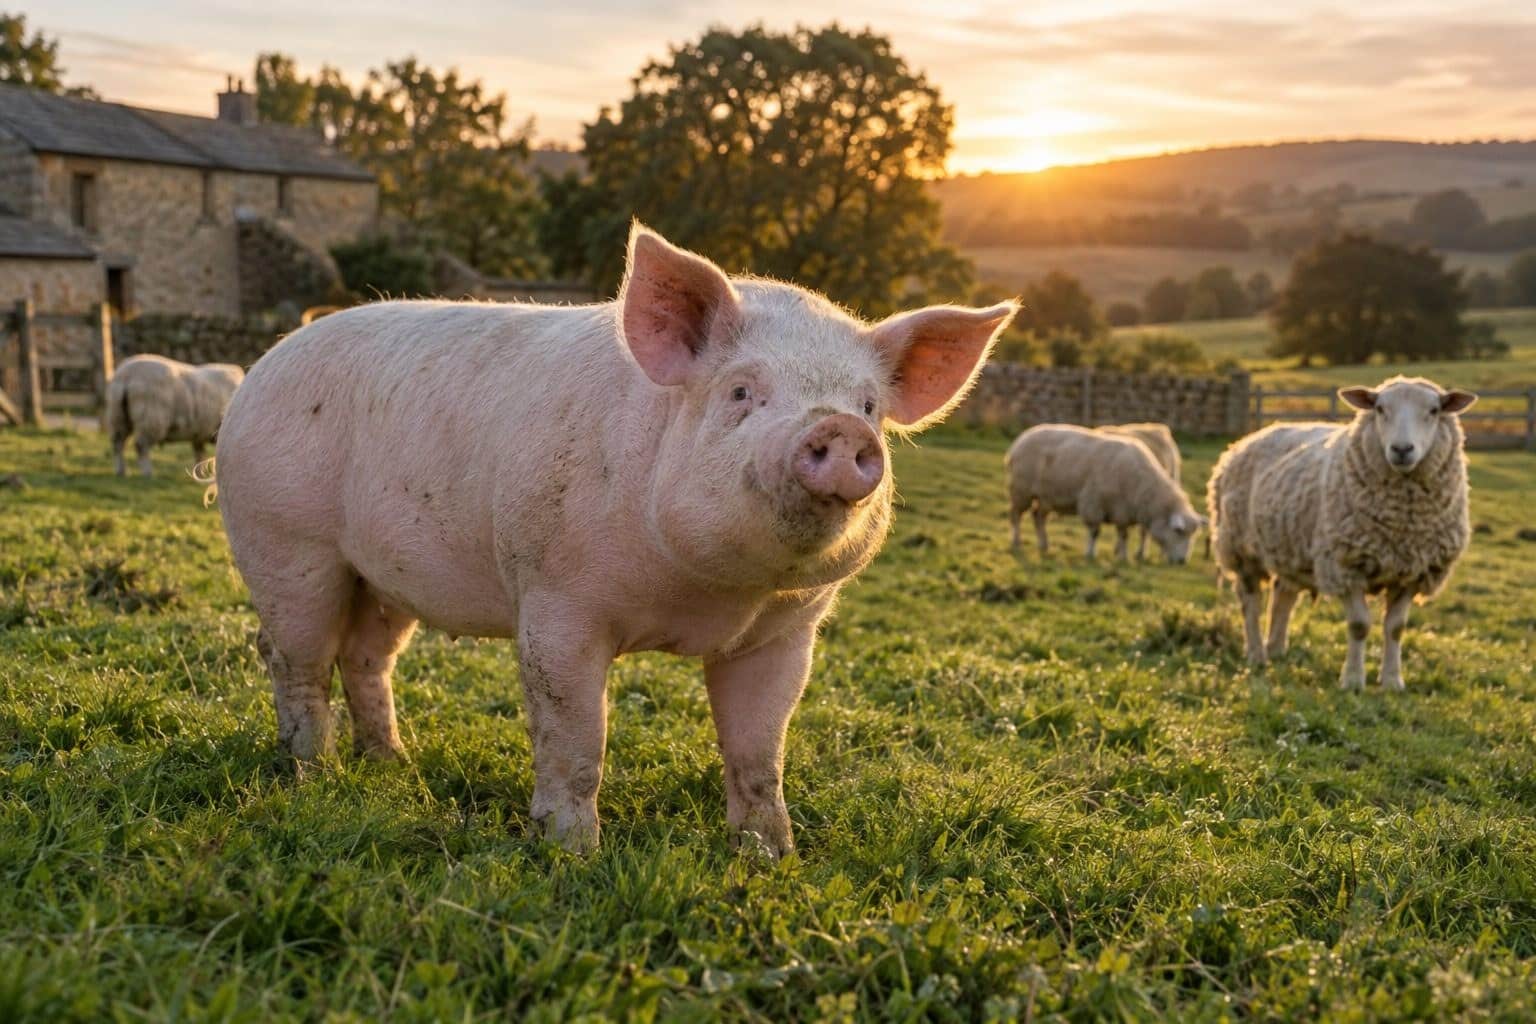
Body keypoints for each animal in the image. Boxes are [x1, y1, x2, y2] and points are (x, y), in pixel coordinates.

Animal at [106, 354, 244, 477]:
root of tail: (126, 375)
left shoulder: (200, 432)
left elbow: (199, 453)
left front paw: (199, 473)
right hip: (151, 417)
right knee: (141, 445)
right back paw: (147, 473)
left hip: (118, 415)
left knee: (117, 443)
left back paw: (121, 471)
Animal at [214, 225, 1016, 856]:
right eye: (741, 392)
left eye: (869, 405)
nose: (841, 429)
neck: (703, 600)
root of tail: (259, 371)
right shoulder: (555, 599)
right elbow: (576, 738)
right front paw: (573, 852)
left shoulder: (784, 634)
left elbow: (760, 750)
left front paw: (771, 857)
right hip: (285, 541)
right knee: (294, 658)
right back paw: (314, 773)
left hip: (383, 577)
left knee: (364, 657)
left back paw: (391, 765)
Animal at [1206, 376, 1476, 690]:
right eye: (1379, 408)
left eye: (1434, 410)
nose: (1401, 449)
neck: (1401, 525)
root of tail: (1244, 440)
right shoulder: (1345, 566)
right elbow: (1359, 626)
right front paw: (1353, 681)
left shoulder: (1413, 572)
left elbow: (1396, 628)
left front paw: (1392, 682)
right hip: (1240, 548)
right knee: (1250, 601)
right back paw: (1256, 654)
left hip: (1290, 548)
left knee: (1283, 595)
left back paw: (1276, 650)